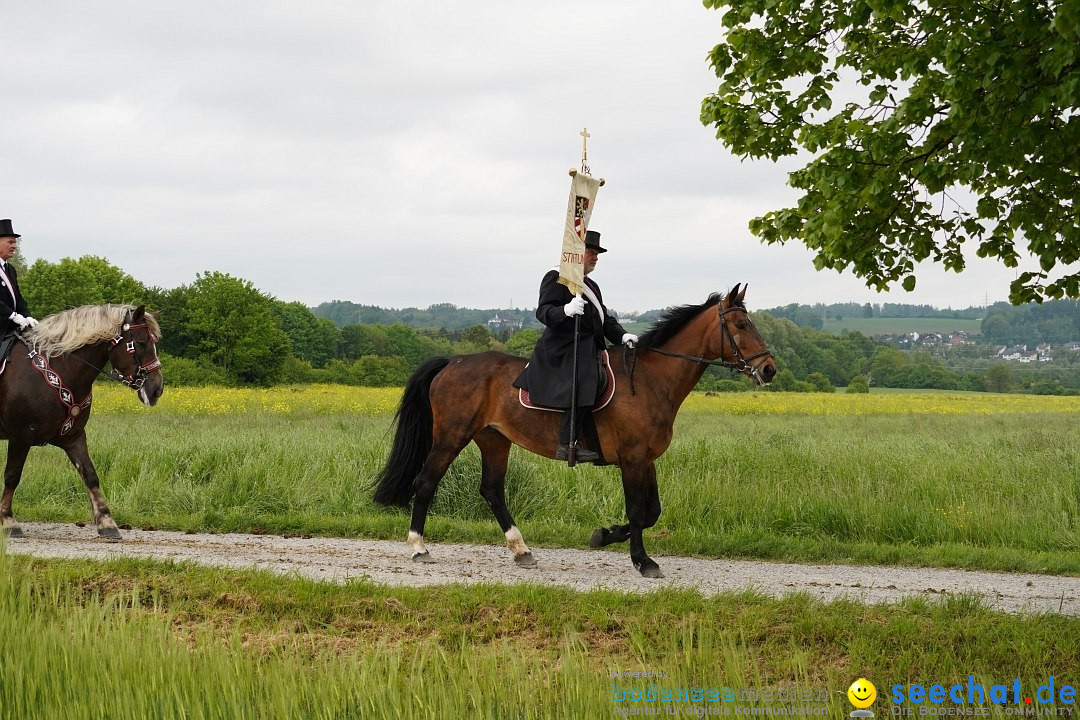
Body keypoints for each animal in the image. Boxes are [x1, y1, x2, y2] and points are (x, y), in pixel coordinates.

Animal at [0, 306, 164, 539]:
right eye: (141, 342)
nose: (157, 389)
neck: (57, 368)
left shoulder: (74, 437)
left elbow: (90, 474)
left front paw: (106, 521)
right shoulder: (21, 436)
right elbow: (12, 476)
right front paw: (8, 521)